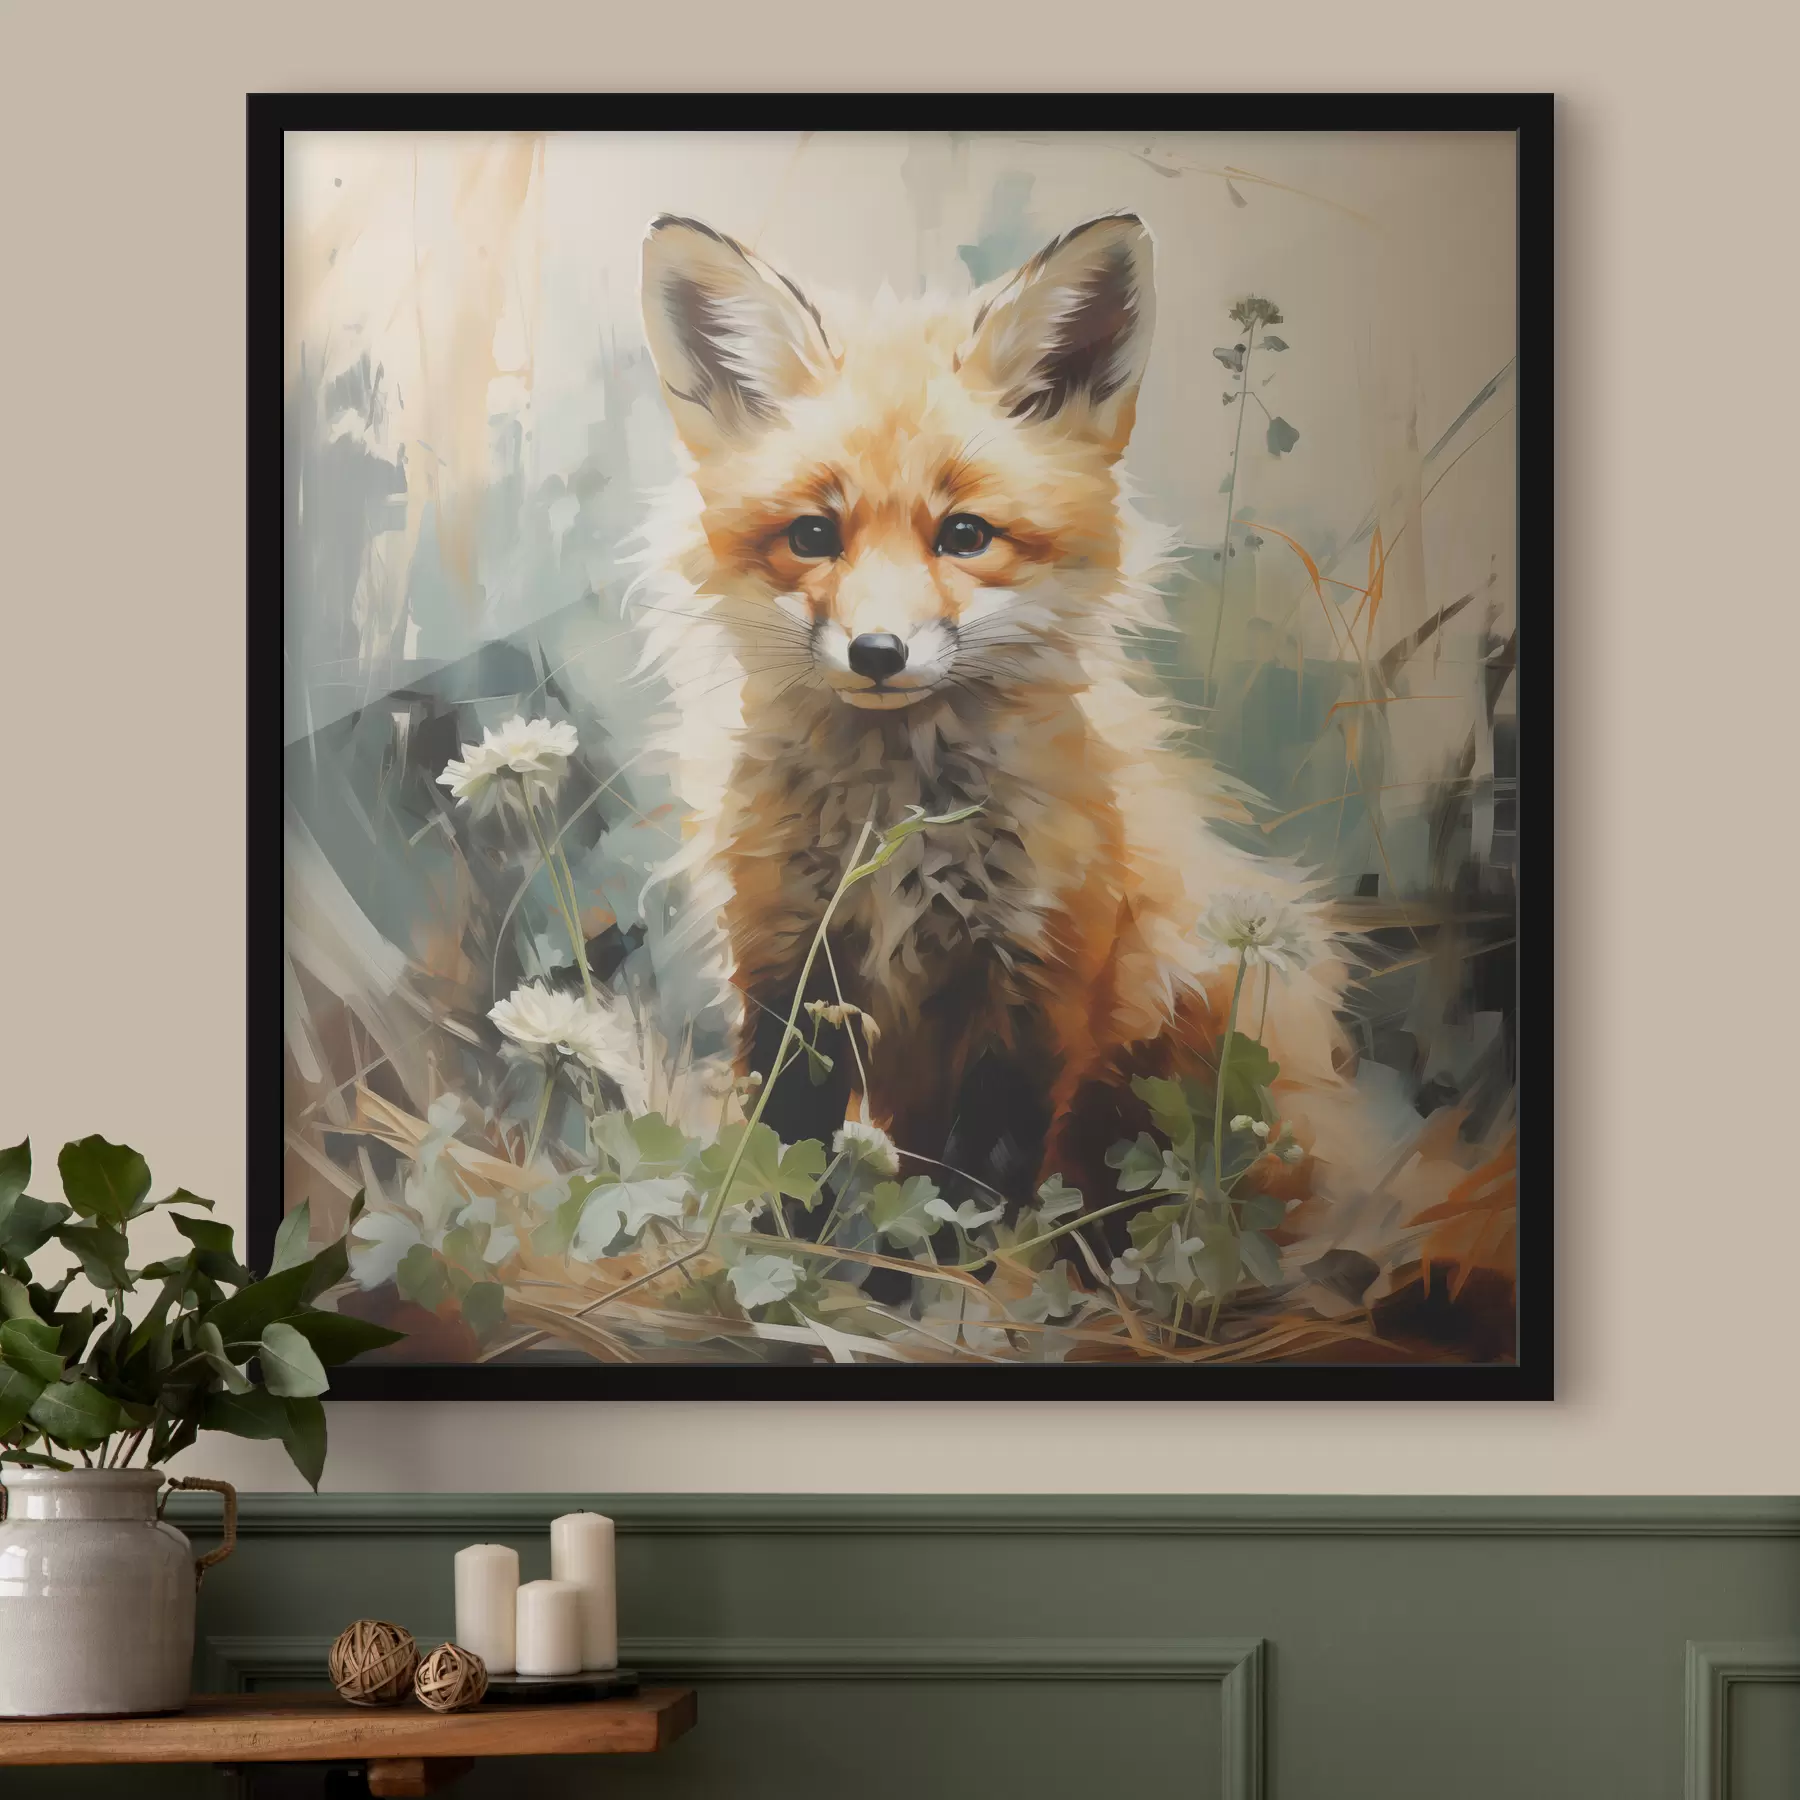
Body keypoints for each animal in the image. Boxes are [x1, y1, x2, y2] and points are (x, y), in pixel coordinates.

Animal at [628, 211, 1355, 1220]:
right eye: (813, 535)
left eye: (965, 535)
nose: (878, 654)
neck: (897, 821)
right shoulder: (786, 963)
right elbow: (785, 1153)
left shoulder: (1034, 988)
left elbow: (975, 1197)